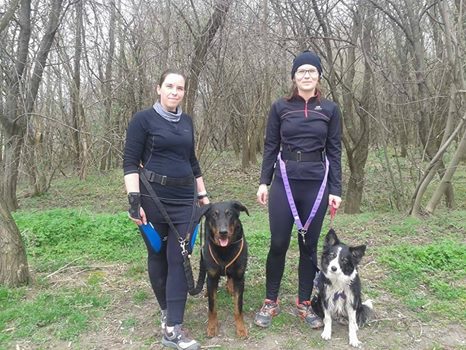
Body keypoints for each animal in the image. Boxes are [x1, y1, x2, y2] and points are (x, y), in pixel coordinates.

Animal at [201, 201, 249, 338]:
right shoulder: (212, 277)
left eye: (230, 214)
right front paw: (212, 327)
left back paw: (230, 287)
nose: (223, 232)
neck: (225, 250)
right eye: (214, 215)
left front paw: (241, 328)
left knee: (229, 276)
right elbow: (212, 308)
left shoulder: (240, 278)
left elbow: (238, 307)